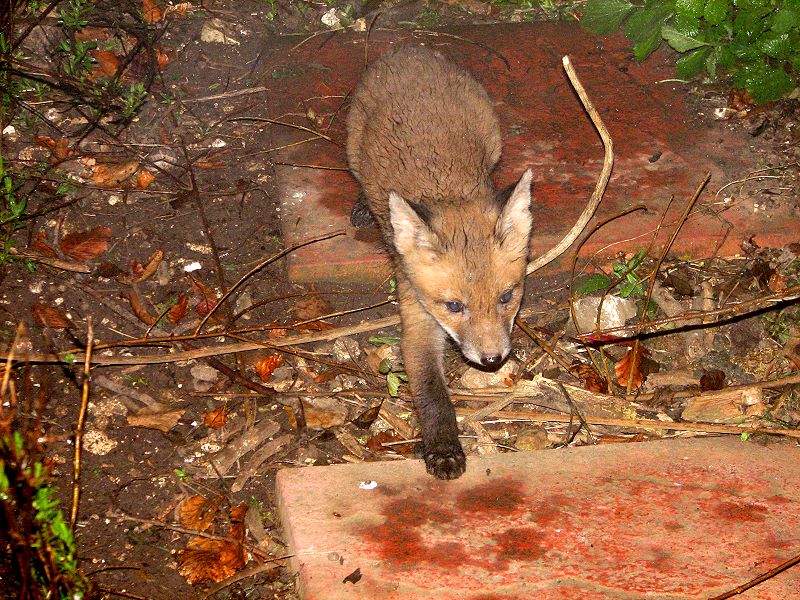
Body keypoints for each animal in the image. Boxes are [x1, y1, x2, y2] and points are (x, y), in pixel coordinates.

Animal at [346, 45, 534, 480]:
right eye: (453, 306)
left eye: (506, 297)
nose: (492, 359)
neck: (447, 194)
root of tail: (407, 50)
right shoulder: (417, 316)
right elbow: (432, 394)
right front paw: (444, 448)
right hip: (352, 147)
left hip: (492, 135)